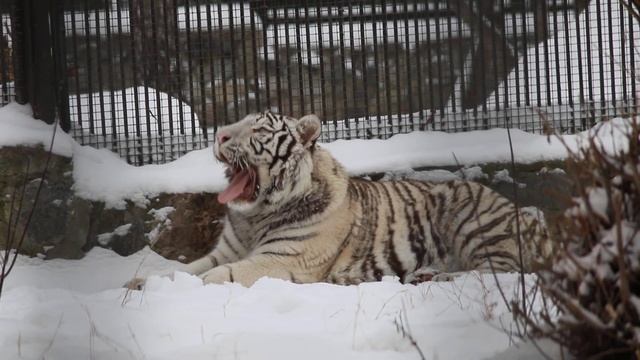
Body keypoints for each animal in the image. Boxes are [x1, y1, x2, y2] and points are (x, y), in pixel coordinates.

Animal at [126, 111, 552, 288]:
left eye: (258, 129)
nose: (219, 135)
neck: (255, 215)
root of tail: (529, 217)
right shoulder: (224, 251)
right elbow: (189, 268)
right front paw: (143, 281)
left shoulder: (283, 259)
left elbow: (221, 275)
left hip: (468, 214)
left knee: (505, 270)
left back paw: (441, 276)